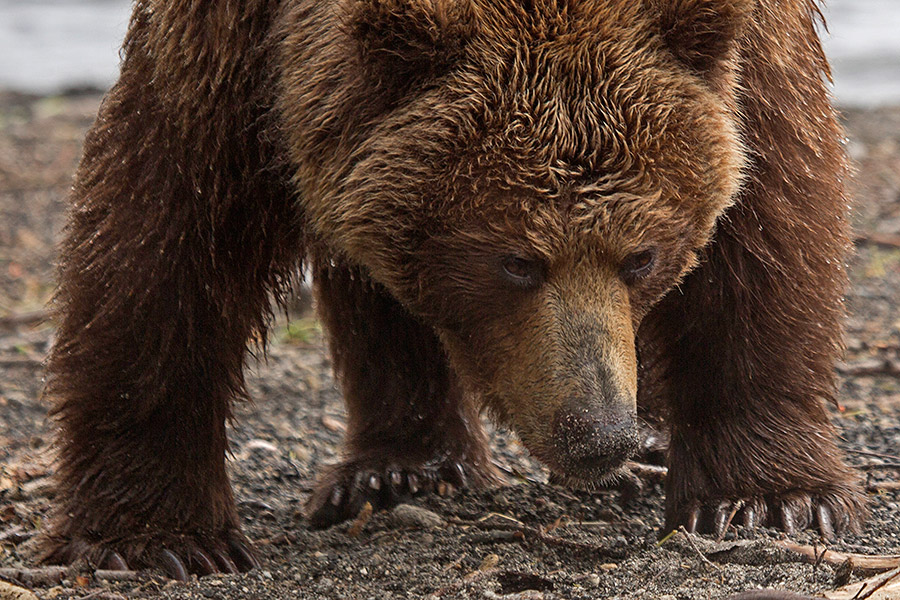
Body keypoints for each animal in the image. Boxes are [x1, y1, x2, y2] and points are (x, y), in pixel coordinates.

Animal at [37, 0, 864, 580]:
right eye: (515, 260)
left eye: (642, 256)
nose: (598, 434)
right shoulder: (229, 51)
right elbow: (165, 230)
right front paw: (156, 539)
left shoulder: (745, 55)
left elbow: (769, 215)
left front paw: (771, 499)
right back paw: (400, 467)